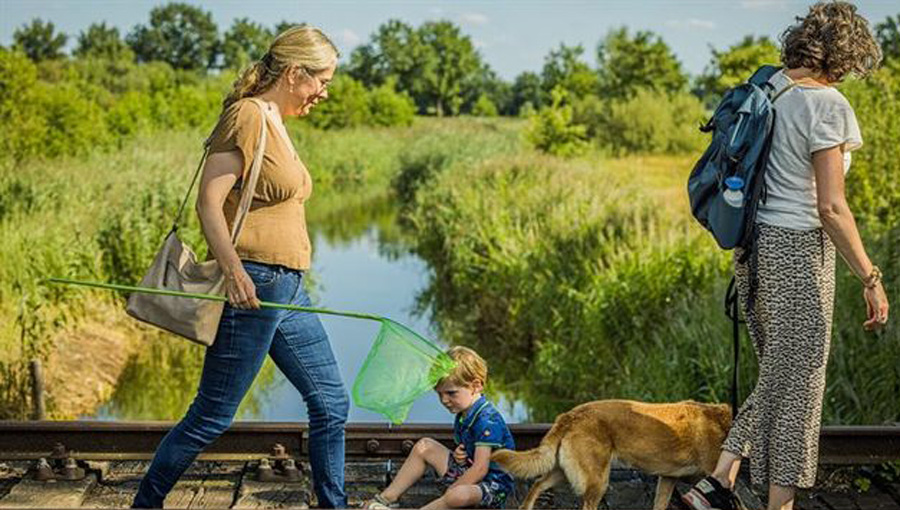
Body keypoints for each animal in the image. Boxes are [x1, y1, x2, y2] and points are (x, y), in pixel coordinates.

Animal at [492, 398, 732, 510]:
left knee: (537, 484)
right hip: (597, 482)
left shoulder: (667, 479)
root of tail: (570, 416)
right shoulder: (716, 474)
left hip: (563, 470)